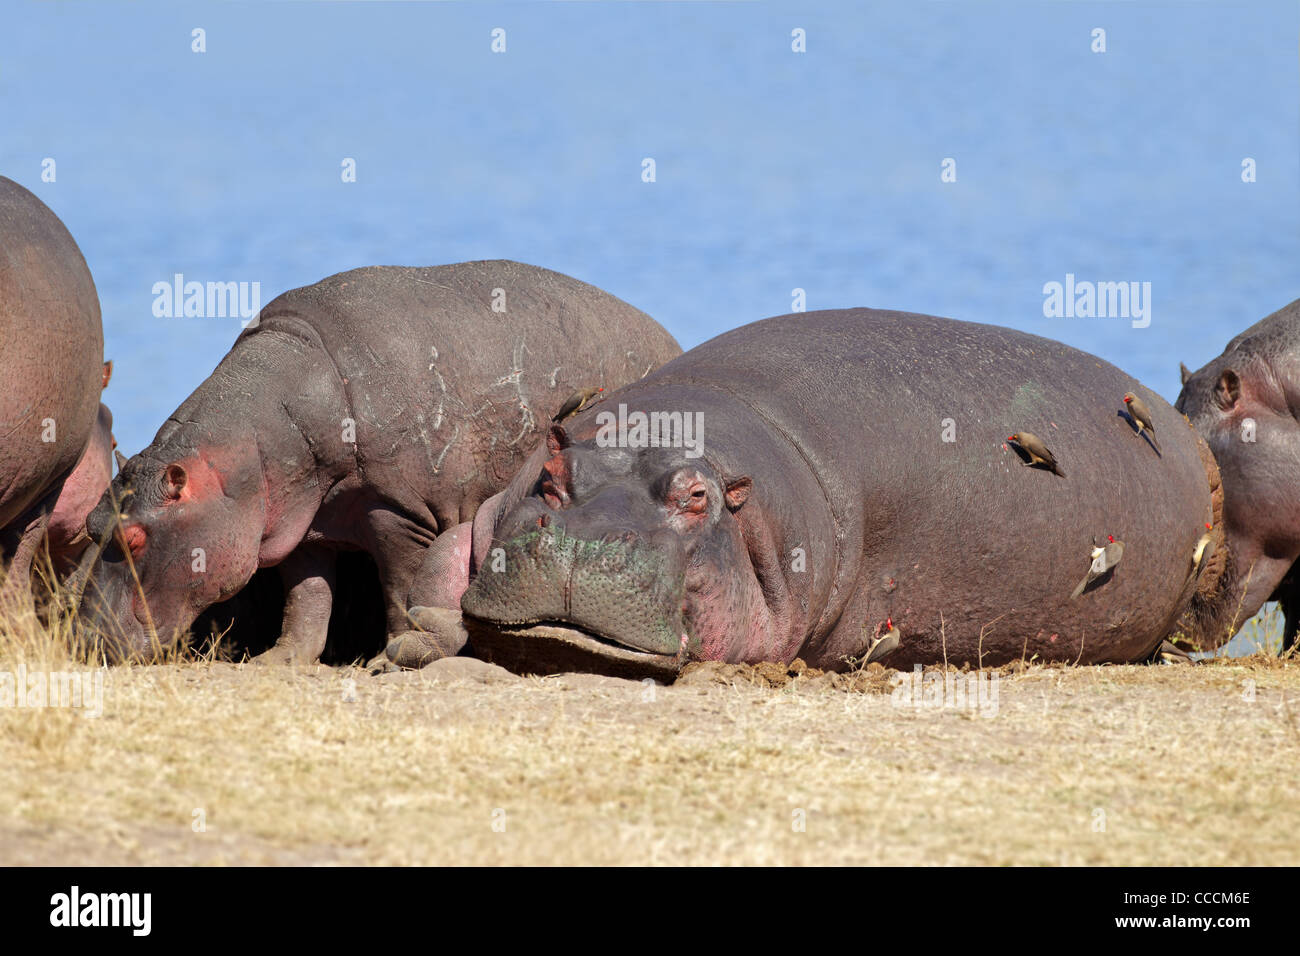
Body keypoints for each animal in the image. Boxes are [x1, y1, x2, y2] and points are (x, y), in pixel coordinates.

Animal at [73, 261, 681, 665]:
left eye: (134, 539)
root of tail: (670, 338)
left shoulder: (399, 513)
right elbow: (307, 597)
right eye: (90, 524)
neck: (247, 455)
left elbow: (399, 586)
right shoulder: (301, 522)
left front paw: (386, 656)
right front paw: (280, 662)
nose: (81, 638)